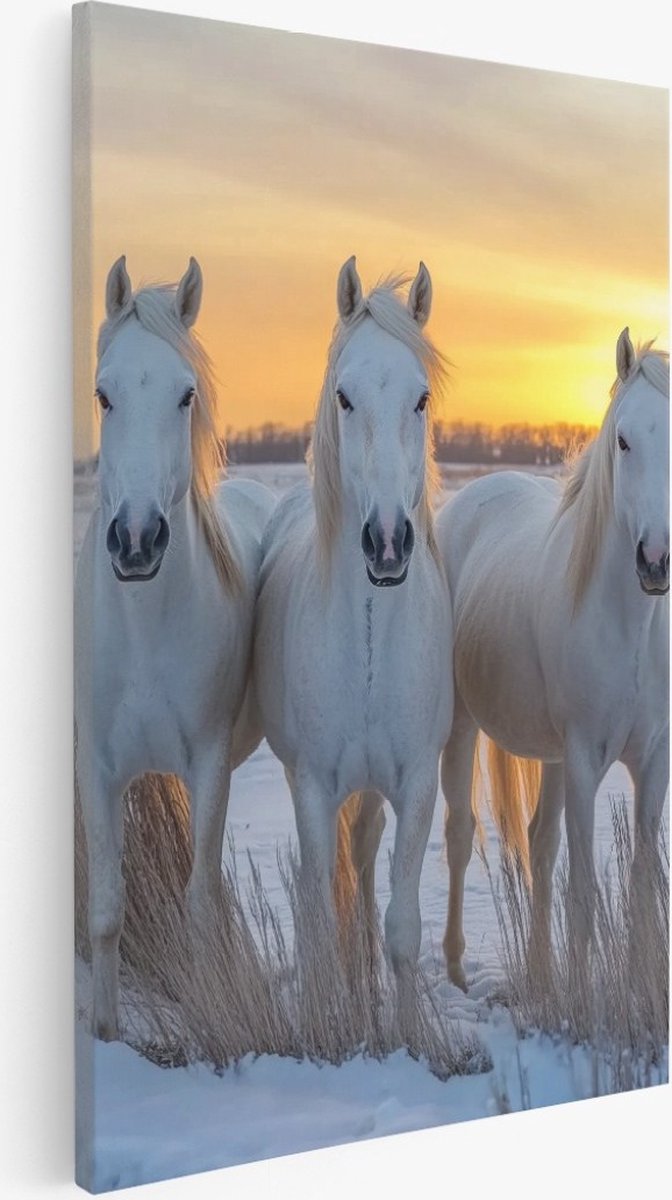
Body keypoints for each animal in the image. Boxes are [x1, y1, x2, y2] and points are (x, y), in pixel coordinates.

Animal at [74, 255, 276, 1041]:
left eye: (185, 394)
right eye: (102, 395)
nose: (136, 541)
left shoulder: (210, 765)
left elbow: (194, 904)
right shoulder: (99, 770)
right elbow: (106, 908)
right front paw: (106, 1033)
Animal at [253, 256, 453, 1020]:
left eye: (421, 399)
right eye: (344, 397)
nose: (389, 542)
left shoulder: (419, 782)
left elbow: (400, 926)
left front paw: (409, 1033)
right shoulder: (312, 785)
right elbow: (314, 911)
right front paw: (322, 1019)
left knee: (365, 867)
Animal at [436, 328, 669, 989]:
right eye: (623, 440)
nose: (654, 561)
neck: (629, 625)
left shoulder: (652, 764)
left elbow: (642, 884)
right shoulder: (587, 761)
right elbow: (585, 891)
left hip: (553, 755)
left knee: (539, 843)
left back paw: (541, 975)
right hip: (463, 729)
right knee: (460, 833)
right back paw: (456, 968)